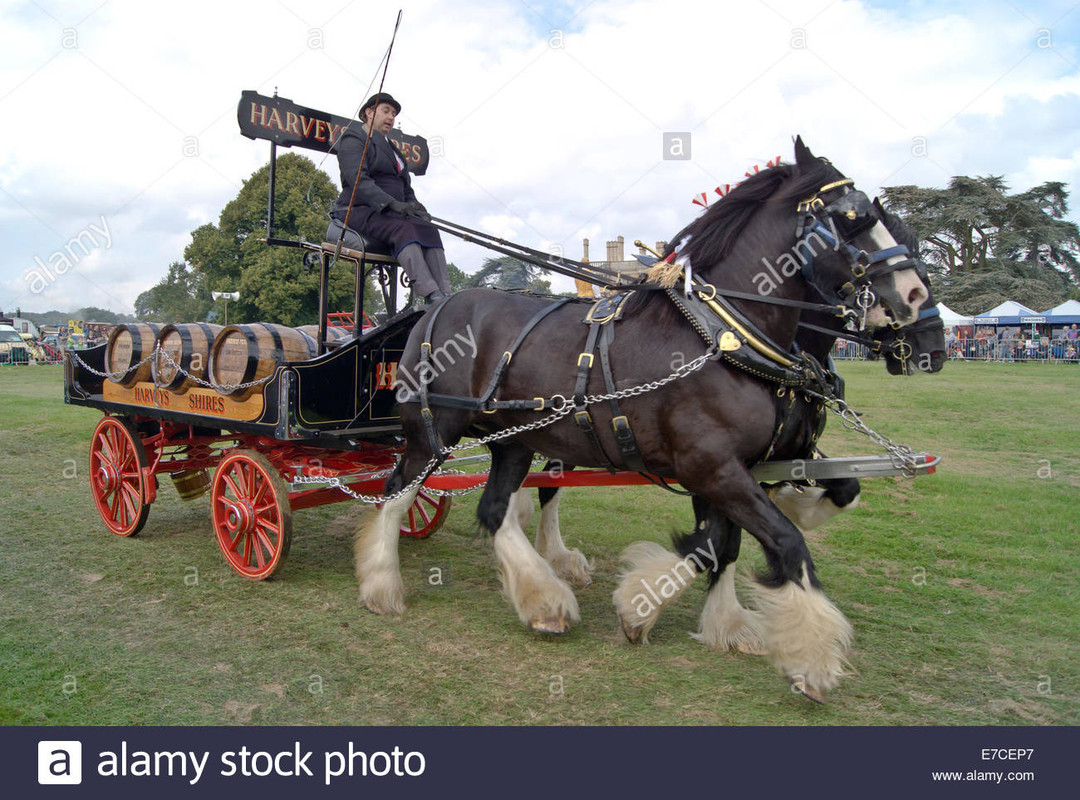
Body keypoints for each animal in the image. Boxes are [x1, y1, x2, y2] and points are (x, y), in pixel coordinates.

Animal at [360, 140, 928, 703]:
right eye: (852, 218)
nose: (915, 297)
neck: (725, 337)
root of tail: (438, 304)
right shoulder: (712, 468)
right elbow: (780, 544)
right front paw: (811, 660)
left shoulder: (734, 469)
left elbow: (724, 543)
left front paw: (705, 619)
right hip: (431, 433)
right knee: (398, 491)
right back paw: (382, 584)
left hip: (516, 440)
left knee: (496, 507)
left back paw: (544, 600)